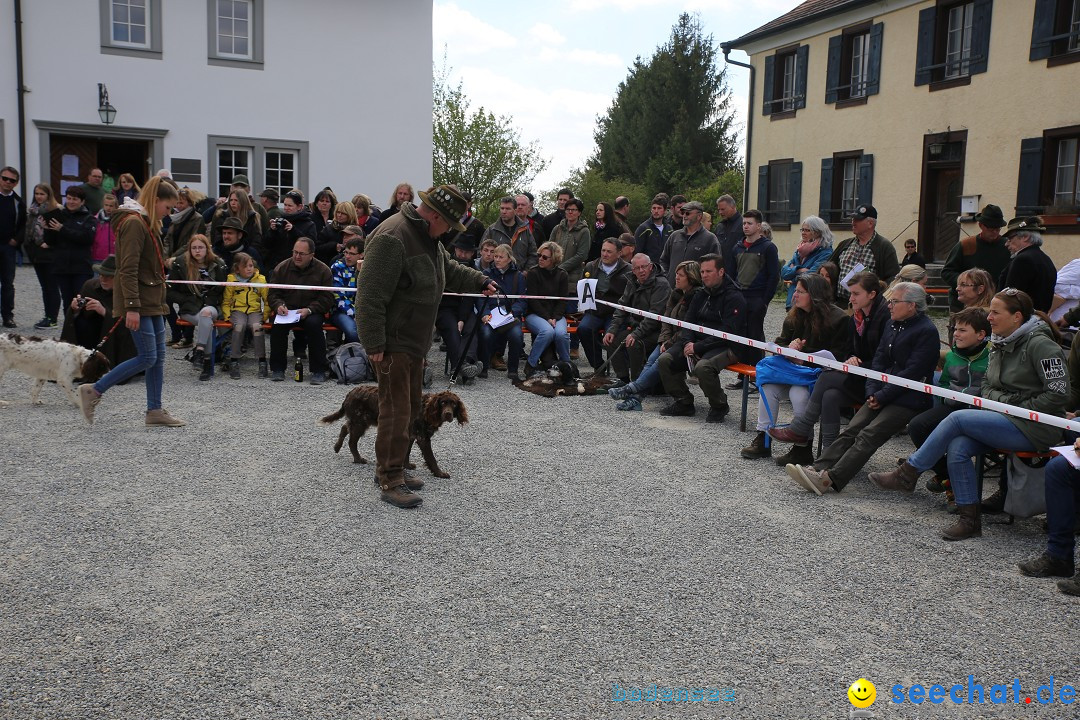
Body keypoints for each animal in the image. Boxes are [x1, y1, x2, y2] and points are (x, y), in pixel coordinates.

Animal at [319, 388, 473, 479]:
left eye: (453, 404)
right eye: (442, 403)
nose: (448, 414)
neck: (427, 408)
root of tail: (350, 393)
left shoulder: (410, 435)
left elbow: (406, 452)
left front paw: (407, 466)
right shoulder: (423, 438)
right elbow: (431, 459)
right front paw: (440, 473)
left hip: (359, 421)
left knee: (345, 427)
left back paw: (337, 447)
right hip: (360, 422)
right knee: (351, 440)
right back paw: (358, 459)